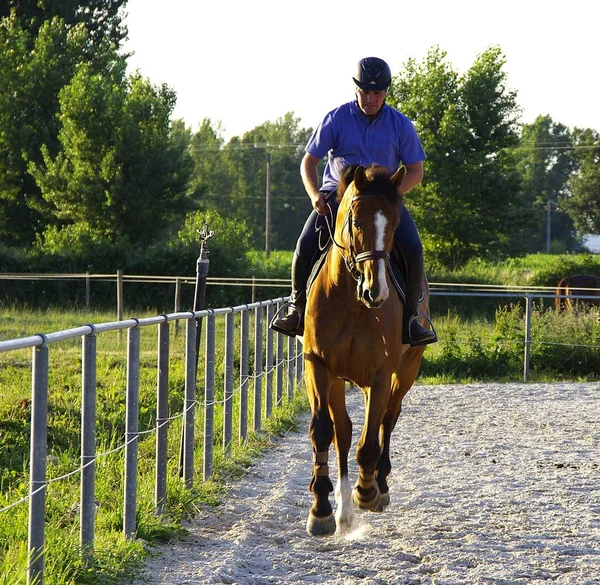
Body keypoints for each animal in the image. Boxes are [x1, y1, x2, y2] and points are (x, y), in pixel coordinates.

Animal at [302, 163, 434, 532]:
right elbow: (324, 431)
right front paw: (322, 509)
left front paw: (367, 492)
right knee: (344, 431)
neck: (352, 303)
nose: (377, 291)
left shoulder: (381, 374)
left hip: (405, 372)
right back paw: (343, 509)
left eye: (393, 225)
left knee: (387, 420)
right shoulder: (318, 365)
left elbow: (370, 440)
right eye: (357, 223)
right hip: (338, 380)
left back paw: (379, 486)